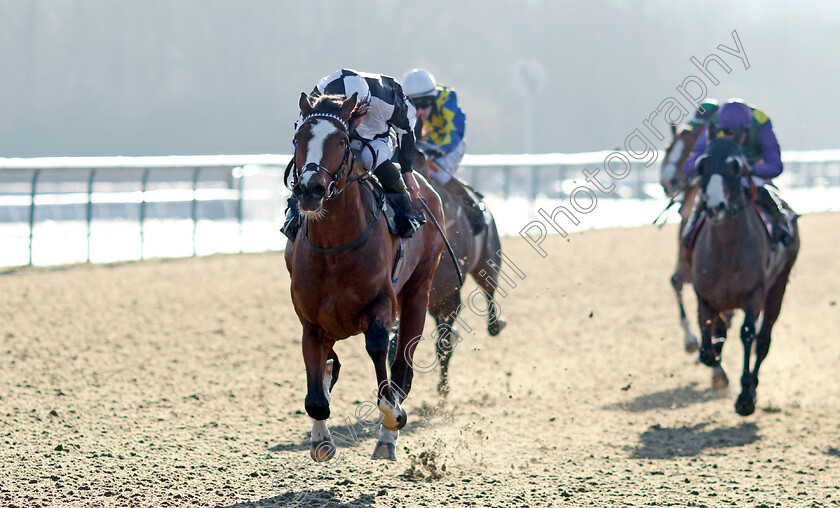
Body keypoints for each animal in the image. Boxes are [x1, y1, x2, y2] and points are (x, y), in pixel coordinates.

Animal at [288, 91, 446, 460]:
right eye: (299, 138)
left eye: (342, 140)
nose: (310, 190)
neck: (335, 247)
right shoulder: (311, 322)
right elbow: (317, 387)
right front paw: (320, 438)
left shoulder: (381, 305)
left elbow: (378, 347)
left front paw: (391, 417)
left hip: (418, 290)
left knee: (403, 367)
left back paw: (388, 437)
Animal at [414, 149, 506, 398]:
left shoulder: (449, 298)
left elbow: (443, 346)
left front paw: (443, 391)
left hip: (489, 259)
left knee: (489, 289)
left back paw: (496, 324)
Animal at [692, 125, 796, 414]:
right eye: (702, 165)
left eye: (735, 166)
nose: (715, 207)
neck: (726, 250)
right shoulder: (705, 296)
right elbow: (708, 340)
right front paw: (714, 357)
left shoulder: (754, 294)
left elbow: (748, 335)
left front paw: (746, 396)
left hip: (778, 286)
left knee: (763, 340)